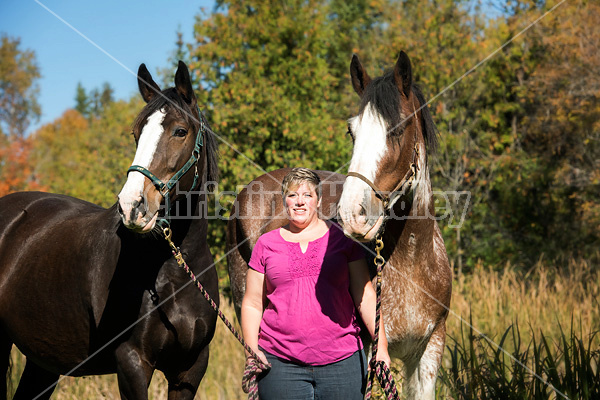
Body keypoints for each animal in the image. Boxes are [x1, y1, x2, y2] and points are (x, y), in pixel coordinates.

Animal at [0, 61, 219, 398]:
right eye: (136, 133)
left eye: (180, 131)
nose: (132, 206)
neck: (176, 273)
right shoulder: (131, 363)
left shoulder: (190, 369)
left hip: (43, 360)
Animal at [225, 51, 450, 398]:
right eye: (351, 131)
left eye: (398, 127)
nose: (353, 214)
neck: (413, 260)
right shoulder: (368, 350)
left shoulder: (429, 351)